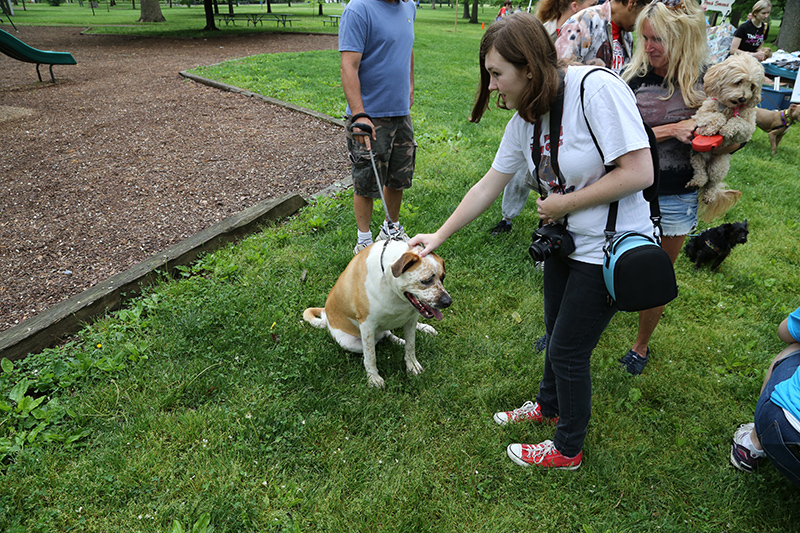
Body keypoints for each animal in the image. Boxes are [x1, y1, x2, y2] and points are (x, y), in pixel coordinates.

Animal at [304, 240, 450, 386]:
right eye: (426, 281)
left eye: (443, 278)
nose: (448, 301)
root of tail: (326, 318)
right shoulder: (367, 325)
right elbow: (370, 356)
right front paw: (373, 378)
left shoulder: (411, 319)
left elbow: (410, 346)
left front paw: (412, 365)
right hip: (350, 343)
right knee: (379, 339)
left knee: (388, 334)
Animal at [688, 53, 764, 218]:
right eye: (738, 82)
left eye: (752, 86)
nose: (743, 98)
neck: (730, 107)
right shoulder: (700, 116)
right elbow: (717, 116)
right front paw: (711, 129)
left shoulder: (748, 130)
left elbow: (738, 122)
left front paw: (727, 129)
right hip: (696, 156)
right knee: (701, 175)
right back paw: (695, 182)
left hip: (718, 167)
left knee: (712, 183)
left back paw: (709, 195)